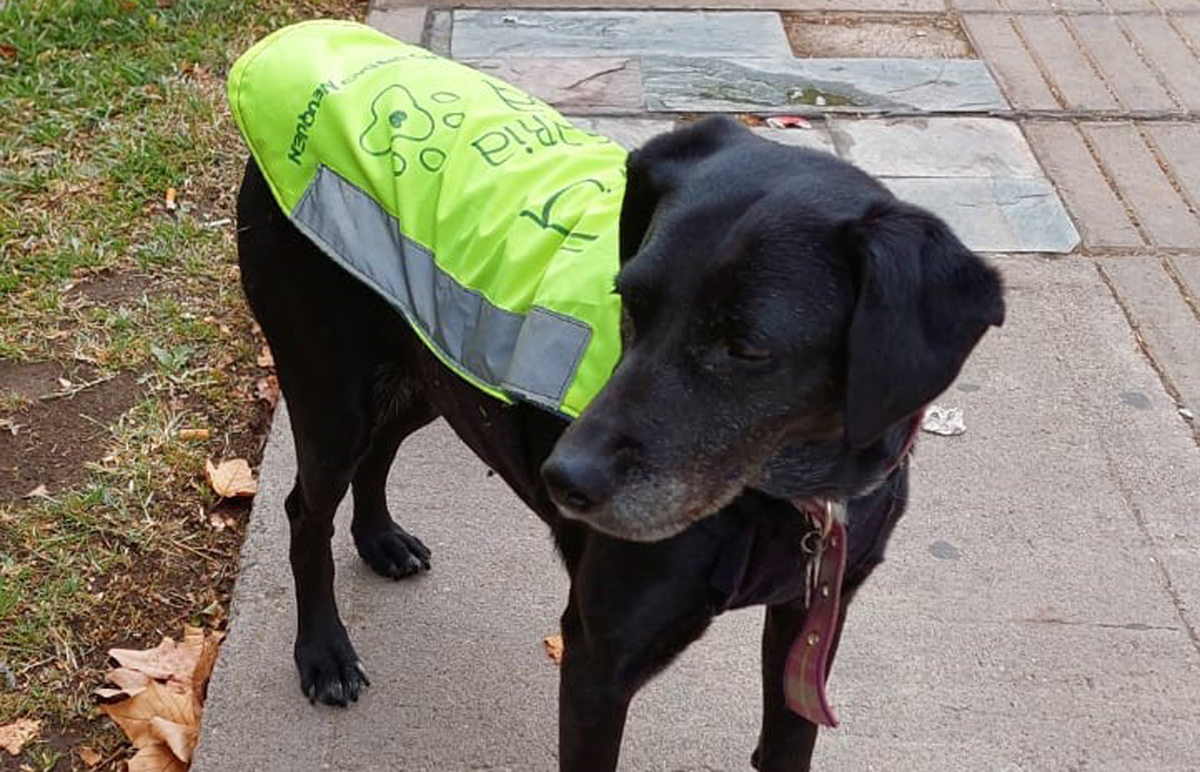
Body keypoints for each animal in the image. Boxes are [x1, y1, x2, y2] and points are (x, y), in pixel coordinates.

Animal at [234, 116, 1003, 772]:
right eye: (629, 301)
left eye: (748, 348)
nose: (563, 479)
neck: (792, 499)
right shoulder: (599, 661)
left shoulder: (810, 623)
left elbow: (787, 748)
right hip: (333, 394)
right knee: (306, 509)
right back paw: (324, 651)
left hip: (425, 370)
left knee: (381, 453)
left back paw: (380, 539)